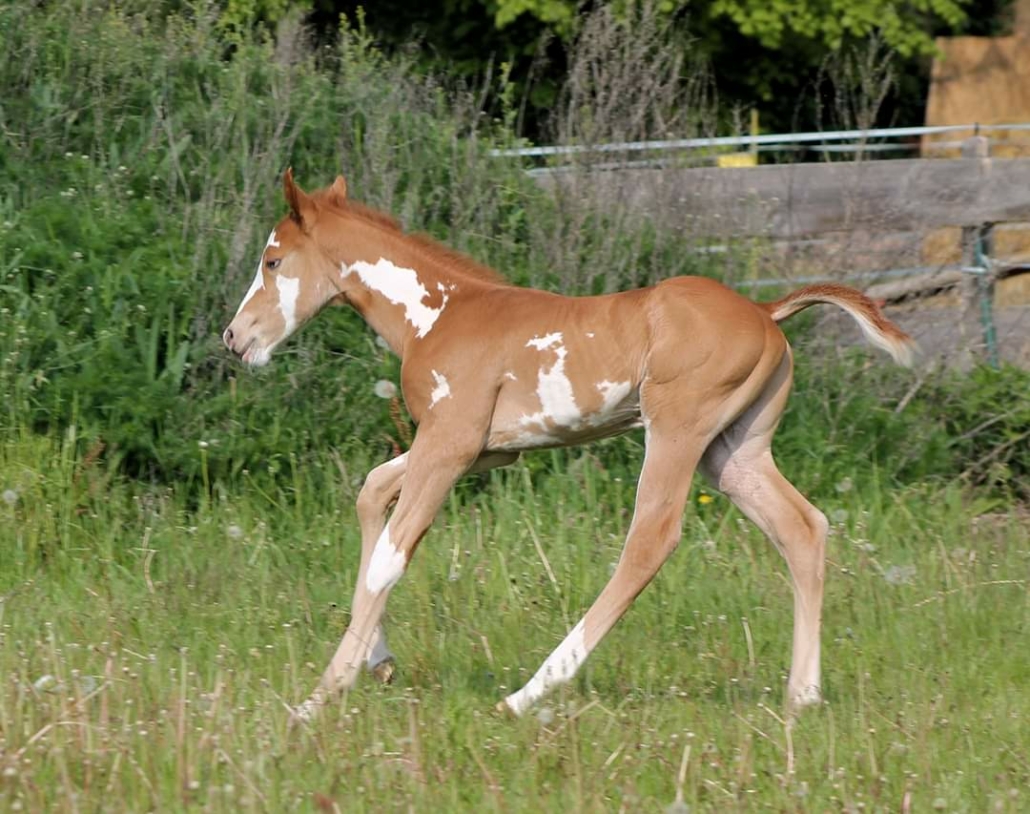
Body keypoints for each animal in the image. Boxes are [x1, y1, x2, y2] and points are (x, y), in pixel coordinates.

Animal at [222, 169, 915, 722]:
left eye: (273, 261)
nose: (234, 338)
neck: (438, 314)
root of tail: (766, 312)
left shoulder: (450, 445)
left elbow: (392, 555)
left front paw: (319, 696)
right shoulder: (484, 450)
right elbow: (370, 494)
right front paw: (380, 662)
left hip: (677, 430)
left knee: (650, 540)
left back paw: (527, 694)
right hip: (733, 453)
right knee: (802, 527)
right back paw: (803, 696)